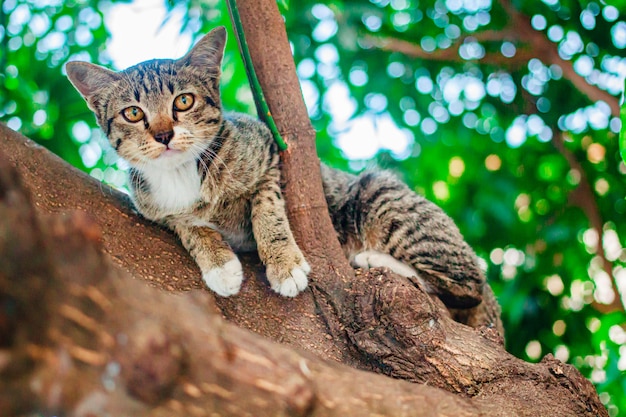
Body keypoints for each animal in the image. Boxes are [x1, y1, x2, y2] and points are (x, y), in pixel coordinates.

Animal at [64, 26, 482, 306]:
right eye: (133, 113)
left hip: (379, 196)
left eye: (183, 101)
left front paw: (284, 264)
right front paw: (218, 263)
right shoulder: (153, 209)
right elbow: (187, 225)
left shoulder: (268, 153)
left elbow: (267, 209)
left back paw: (374, 258)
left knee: (467, 287)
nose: (164, 134)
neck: (182, 172)